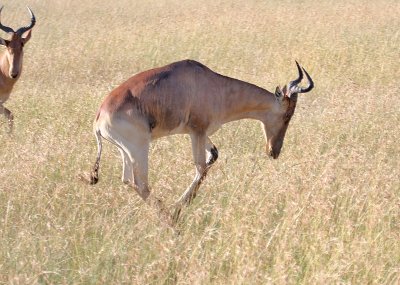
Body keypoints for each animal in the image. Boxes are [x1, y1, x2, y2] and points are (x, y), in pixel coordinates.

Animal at [83, 58, 314, 222]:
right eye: (287, 114)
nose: (274, 151)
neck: (212, 83)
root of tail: (98, 119)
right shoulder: (197, 131)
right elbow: (201, 168)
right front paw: (179, 208)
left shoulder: (201, 133)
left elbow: (213, 156)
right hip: (140, 148)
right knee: (141, 184)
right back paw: (171, 221)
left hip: (125, 150)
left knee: (127, 179)